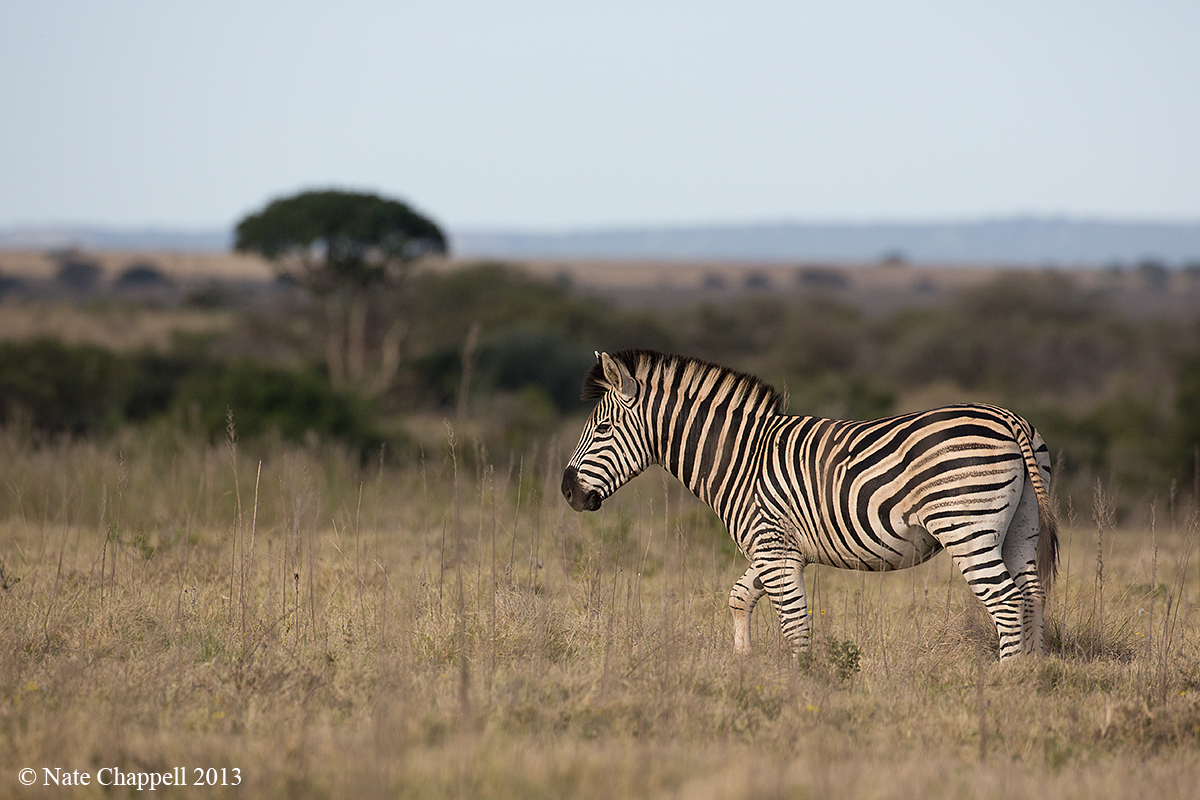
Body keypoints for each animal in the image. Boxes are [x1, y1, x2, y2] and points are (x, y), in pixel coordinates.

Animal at [561, 349, 1059, 661]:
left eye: (602, 428)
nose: (567, 491)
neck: (740, 459)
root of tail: (1009, 419)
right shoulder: (774, 549)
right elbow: (739, 597)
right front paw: (743, 663)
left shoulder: (773, 548)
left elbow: (794, 624)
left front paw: (801, 689)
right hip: (1021, 528)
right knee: (1032, 595)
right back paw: (1031, 677)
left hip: (966, 527)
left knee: (1006, 601)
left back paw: (1005, 681)